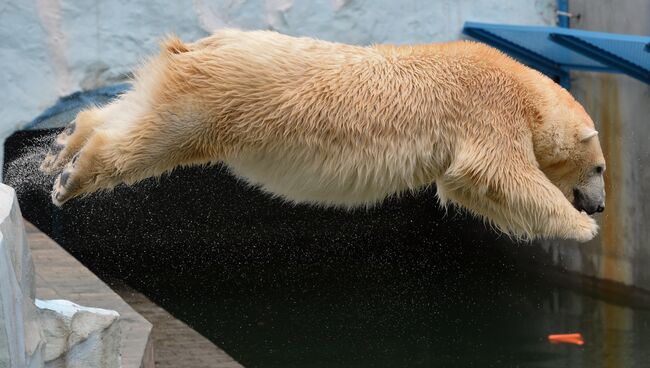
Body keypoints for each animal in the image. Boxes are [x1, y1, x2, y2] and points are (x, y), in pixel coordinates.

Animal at [43, 28, 604, 242]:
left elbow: (468, 187)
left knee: (131, 112)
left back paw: (62, 145)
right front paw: (580, 228)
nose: (599, 206)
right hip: (216, 101)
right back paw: (70, 178)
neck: (526, 90)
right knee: (152, 140)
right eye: (599, 167)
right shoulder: (489, 109)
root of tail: (204, 44)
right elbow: (496, 174)